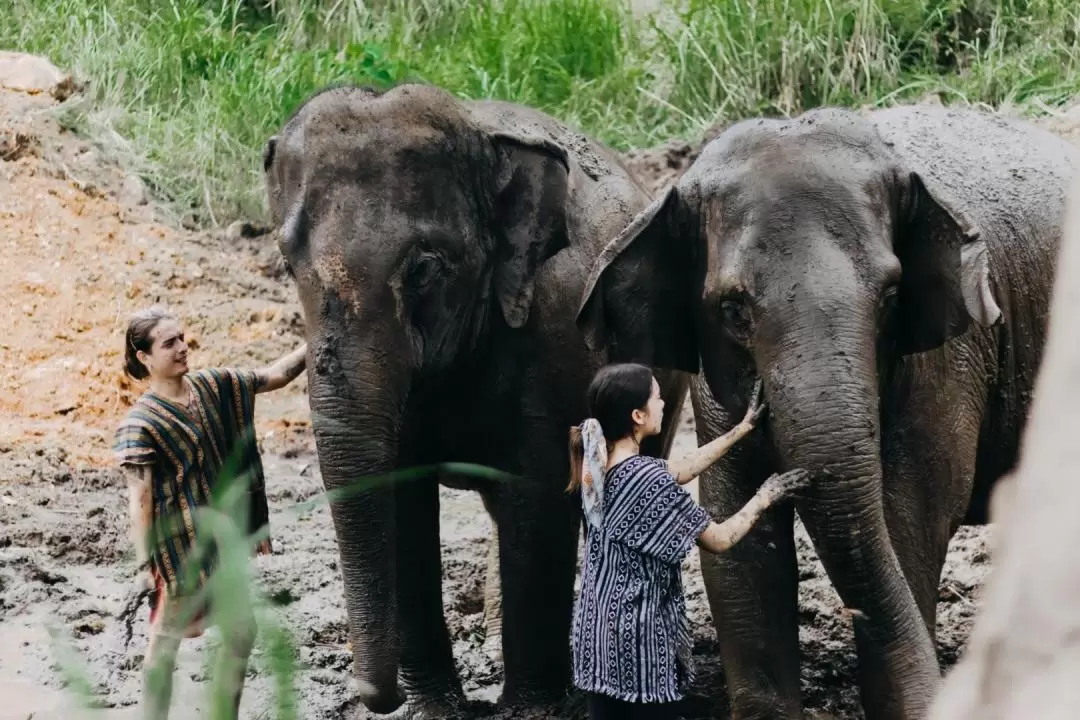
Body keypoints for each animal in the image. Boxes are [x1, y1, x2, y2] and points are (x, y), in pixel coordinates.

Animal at [259, 83, 691, 716]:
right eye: (288, 266)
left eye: (423, 270)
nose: (373, 694)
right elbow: (404, 500)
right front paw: (435, 707)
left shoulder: (557, 333)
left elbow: (537, 494)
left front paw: (529, 708)